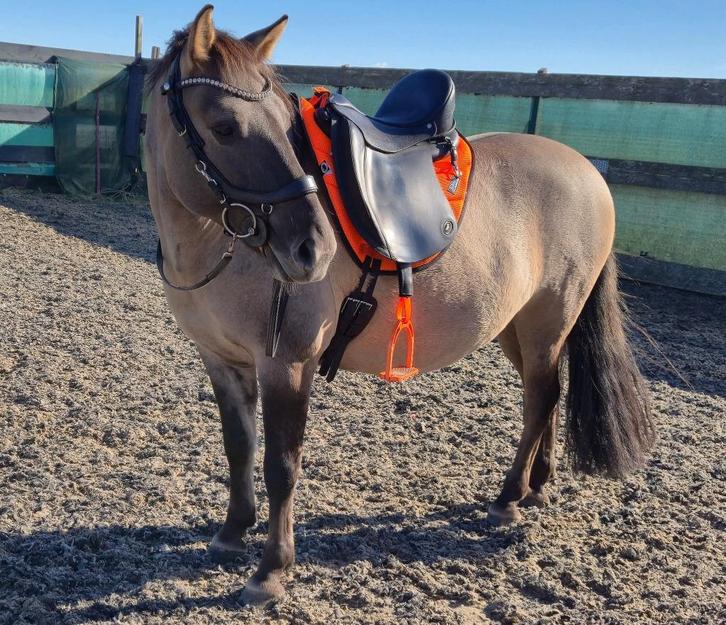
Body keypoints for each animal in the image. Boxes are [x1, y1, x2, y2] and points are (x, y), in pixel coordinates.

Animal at [144, 5, 655, 606]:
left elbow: (280, 465)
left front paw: (271, 570)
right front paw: (230, 534)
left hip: (547, 321)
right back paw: (536, 488)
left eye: (287, 126)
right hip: (517, 328)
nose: (313, 249)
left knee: (542, 398)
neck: (216, 245)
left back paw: (508, 499)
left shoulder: (287, 364)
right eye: (225, 127)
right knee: (547, 395)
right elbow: (239, 449)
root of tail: (588, 171)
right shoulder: (223, 362)